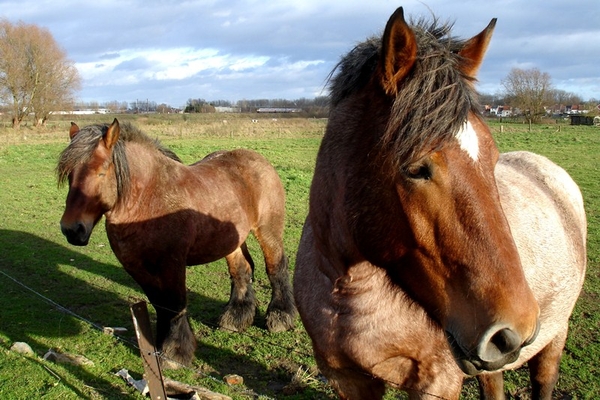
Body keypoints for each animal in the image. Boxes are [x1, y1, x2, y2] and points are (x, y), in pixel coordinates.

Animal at [57, 119, 296, 368]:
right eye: (69, 174)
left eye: (102, 172)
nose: (72, 230)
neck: (149, 199)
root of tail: (258, 159)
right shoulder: (137, 267)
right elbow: (160, 304)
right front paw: (161, 349)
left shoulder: (172, 265)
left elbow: (174, 304)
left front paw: (175, 352)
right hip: (232, 241)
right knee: (241, 271)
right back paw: (236, 317)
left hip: (267, 231)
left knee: (276, 268)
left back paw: (280, 317)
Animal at [296, 7, 584, 400]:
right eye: (417, 169)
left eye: (493, 159)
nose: (517, 327)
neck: (348, 292)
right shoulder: (346, 378)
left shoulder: (436, 383)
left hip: (554, 336)